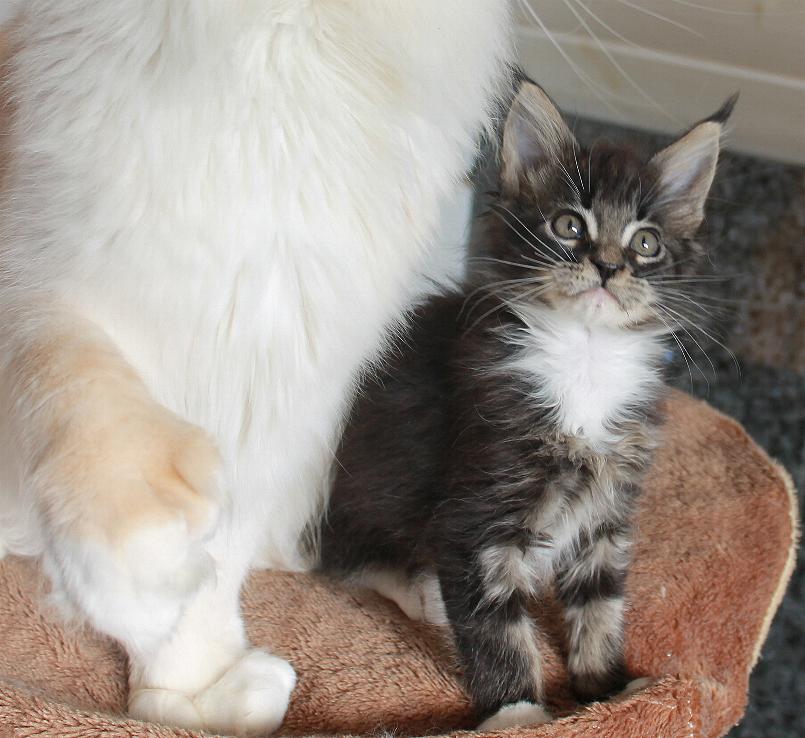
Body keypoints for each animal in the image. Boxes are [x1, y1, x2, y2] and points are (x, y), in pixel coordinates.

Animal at [0, 2, 514, 734]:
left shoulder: (277, 379)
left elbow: (217, 568)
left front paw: (191, 688)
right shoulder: (37, 267)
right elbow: (76, 381)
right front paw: (142, 568)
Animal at [319, 79, 733, 730]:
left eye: (646, 243)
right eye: (568, 225)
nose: (607, 266)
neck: (585, 358)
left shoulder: (608, 510)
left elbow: (601, 605)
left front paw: (611, 691)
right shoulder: (479, 514)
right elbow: (496, 627)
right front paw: (517, 713)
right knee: (352, 562)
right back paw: (423, 592)